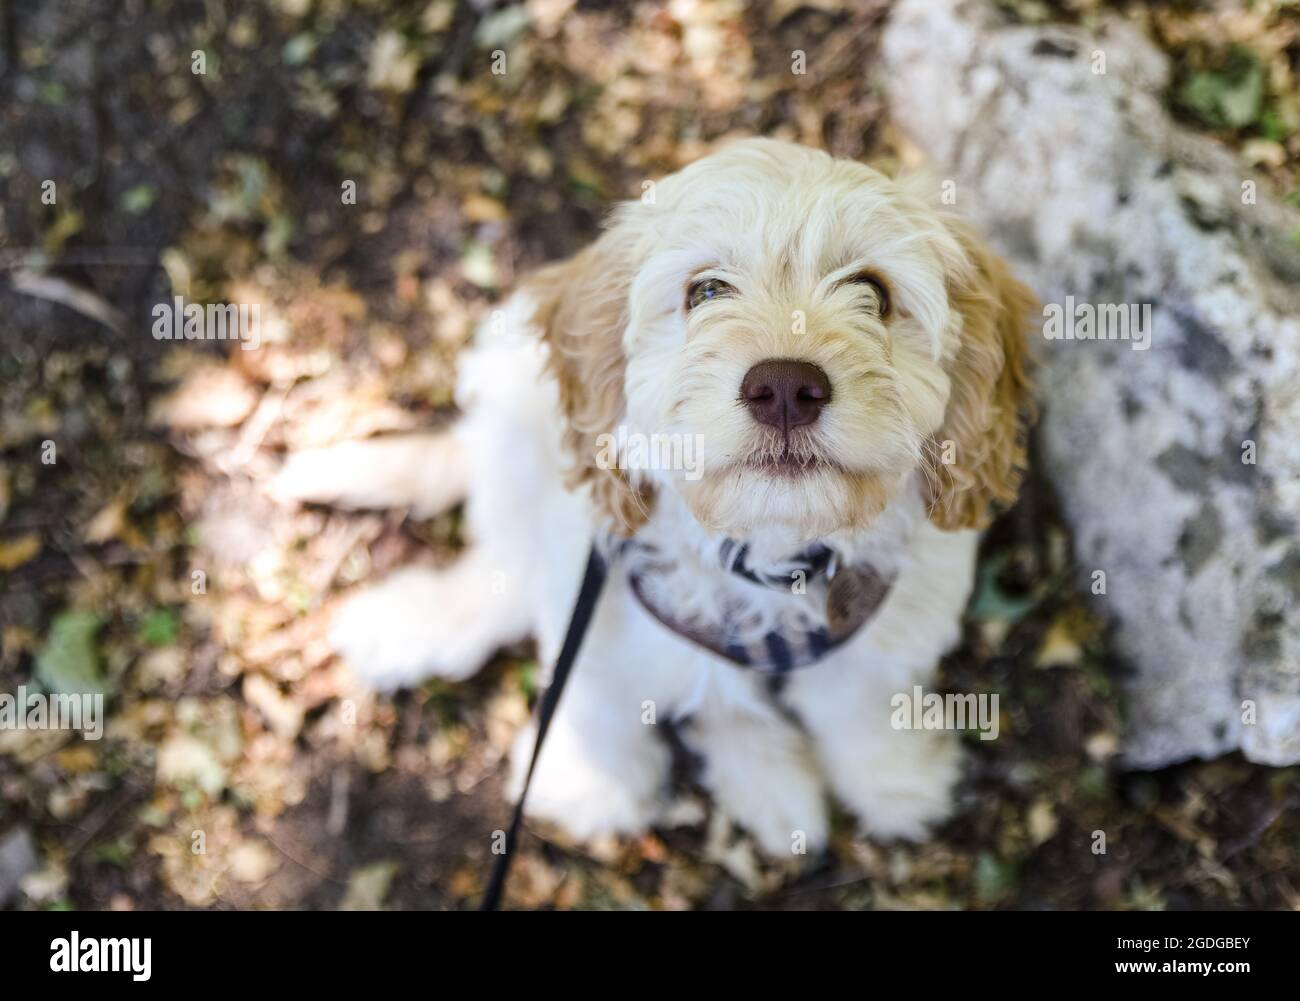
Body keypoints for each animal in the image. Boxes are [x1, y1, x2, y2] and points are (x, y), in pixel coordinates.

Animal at [317, 136, 1034, 852]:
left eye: (873, 292)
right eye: (706, 290)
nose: (784, 388)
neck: (770, 559)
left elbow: (862, 702)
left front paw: (893, 778)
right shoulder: (594, 590)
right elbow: (593, 694)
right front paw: (589, 778)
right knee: (506, 569)